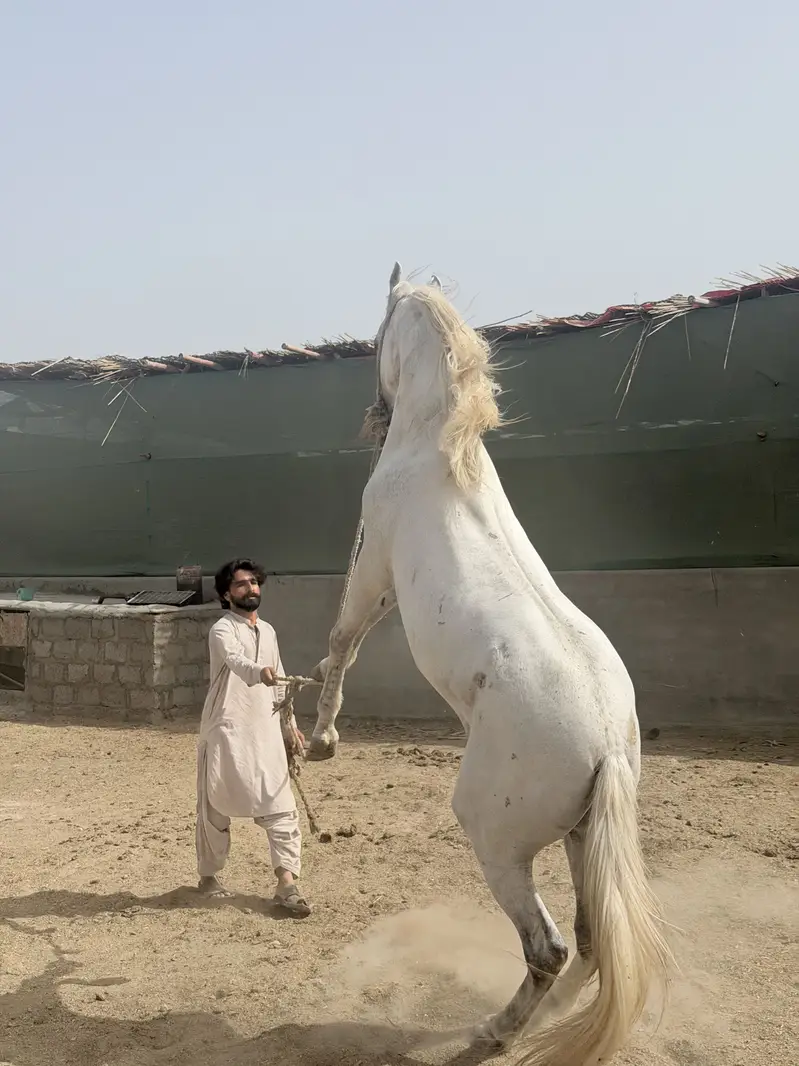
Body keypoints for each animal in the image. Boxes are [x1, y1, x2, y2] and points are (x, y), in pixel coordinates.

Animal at [307, 264, 673, 1064]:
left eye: (377, 334)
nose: (371, 413)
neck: (437, 451)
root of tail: (607, 747)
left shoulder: (373, 572)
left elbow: (340, 643)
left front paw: (320, 739)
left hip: (497, 842)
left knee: (549, 949)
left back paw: (490, 1035)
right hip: (580, 838)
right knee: (593, 944)